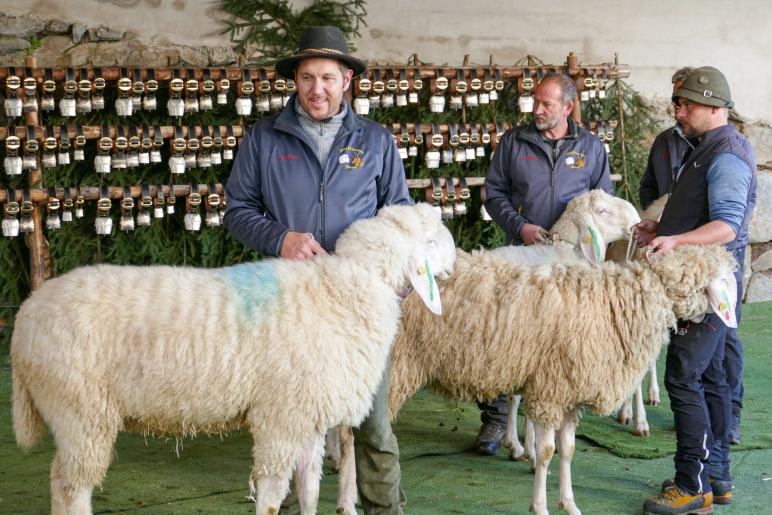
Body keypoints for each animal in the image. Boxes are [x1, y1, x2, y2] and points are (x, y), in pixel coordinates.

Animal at [9, 203, 456, 515]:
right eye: (431, 242)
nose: (455, 263)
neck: (343, 290)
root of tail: (25, 316)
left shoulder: (306, 416)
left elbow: (309, 489)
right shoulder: (280, 418)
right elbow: (273, 495)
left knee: (60, 478)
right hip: (80, 410)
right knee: (70, 486)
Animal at [386, 245, 736, 515]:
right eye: (720, 280)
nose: (727, 319)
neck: (622, 303)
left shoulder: (570, 393)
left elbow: (567, 450)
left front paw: (568, 503)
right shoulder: (549, 391)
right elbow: (545, 452)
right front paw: (539, 505)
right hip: (396, 367)